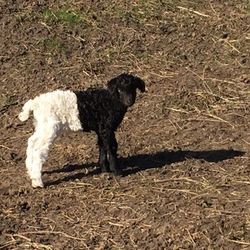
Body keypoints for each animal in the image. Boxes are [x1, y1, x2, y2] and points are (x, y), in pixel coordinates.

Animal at [18, 73, 146, 188]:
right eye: (119, 89)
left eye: (133, 87)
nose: (129, 100)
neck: (110, 100)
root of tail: (35, 103)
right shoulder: (107, 128)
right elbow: (112, 146)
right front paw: (117, 171)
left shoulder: (101, 128)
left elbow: (102, 145)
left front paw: (104, 169)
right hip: (49, 127)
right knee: (38, 150)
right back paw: (37, 182)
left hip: (42, 126)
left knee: (31, 142)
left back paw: (30, 170)